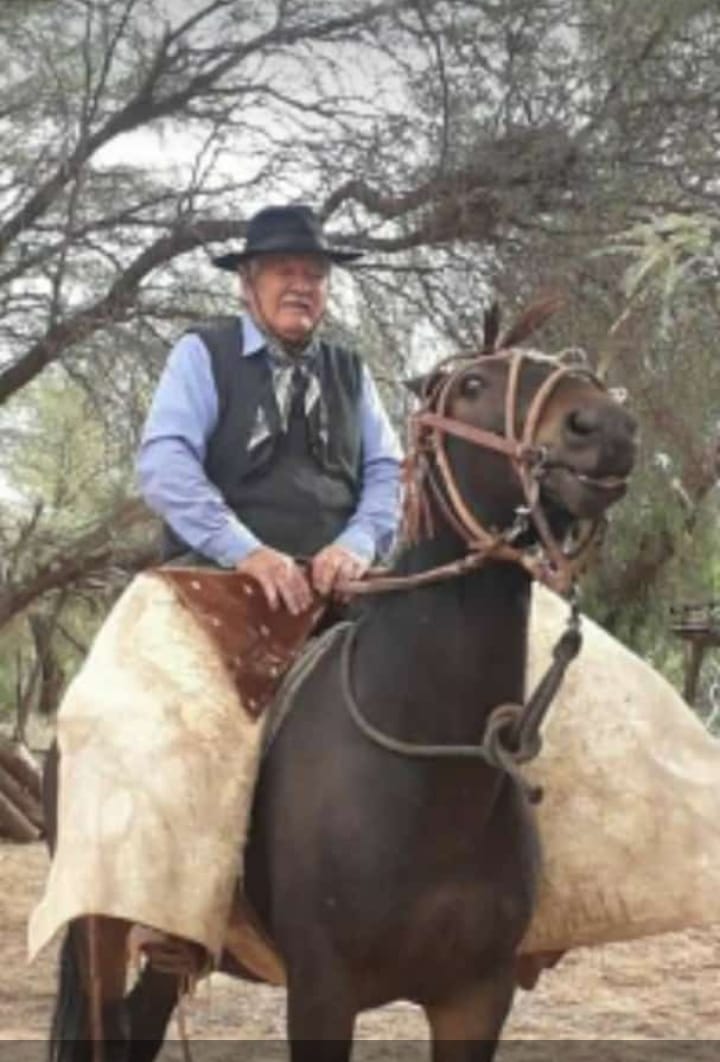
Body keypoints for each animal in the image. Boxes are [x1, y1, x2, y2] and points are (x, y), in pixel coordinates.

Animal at [45, 302, 637, 1062]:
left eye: (578, 367)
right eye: (473, 385)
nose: (607, 429)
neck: (429, 775)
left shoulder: (476, 998)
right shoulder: (323, 992)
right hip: (101, 925)